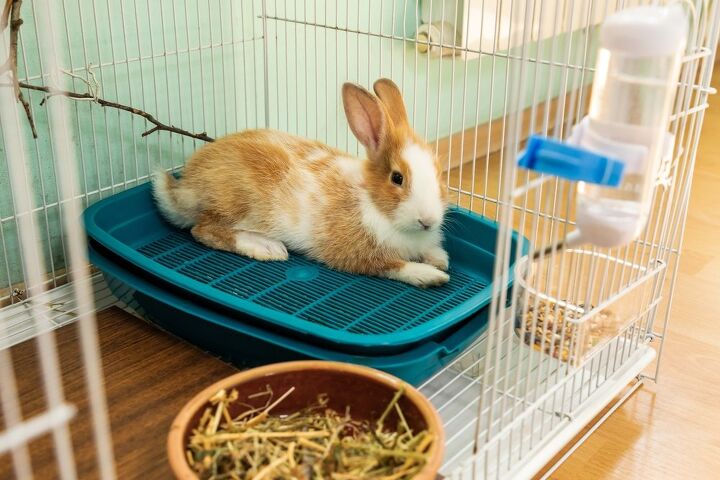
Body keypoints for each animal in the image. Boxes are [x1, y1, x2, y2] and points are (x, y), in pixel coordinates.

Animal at [152, 78, 450, 286]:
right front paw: (431, 275)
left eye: (439, 172)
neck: (374, 204)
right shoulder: (357, 255)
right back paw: (265, 247)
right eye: (397, 178)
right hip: (236, 204)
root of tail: (183, 188)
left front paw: (440, 259)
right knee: (203, 230)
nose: (428, 221)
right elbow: (392, 266)